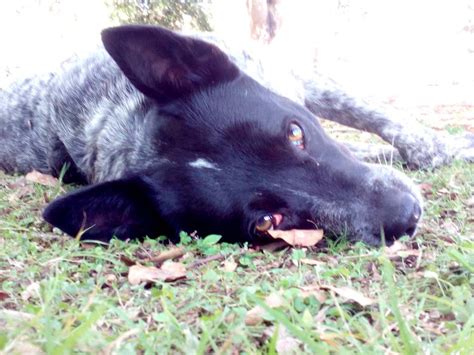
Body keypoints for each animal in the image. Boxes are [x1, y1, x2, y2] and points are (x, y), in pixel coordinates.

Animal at [0, 25, 422, 246]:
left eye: (295, 132)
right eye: (267, 222)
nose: (408, 215)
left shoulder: (293, 76)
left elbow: (380, 119)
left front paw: (431, 149)